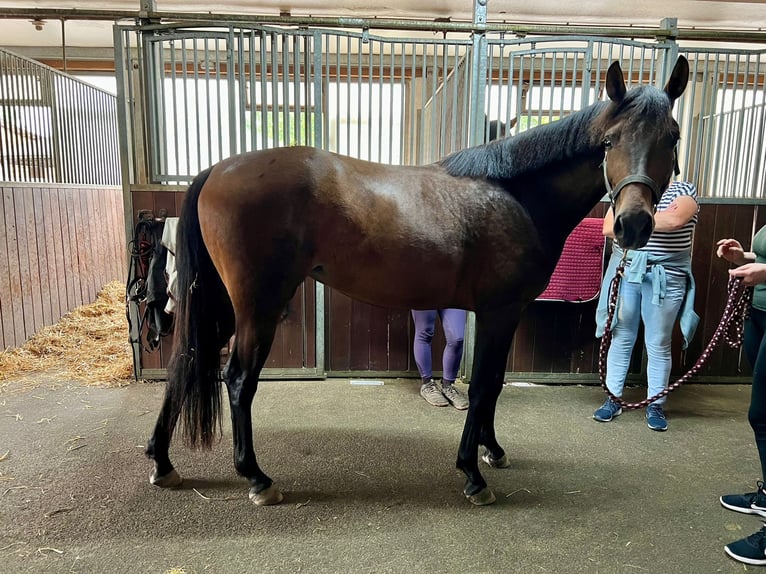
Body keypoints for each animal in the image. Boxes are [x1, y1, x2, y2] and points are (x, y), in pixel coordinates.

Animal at [147, 57, 692, 508]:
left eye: (672, 137)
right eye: (609, 142)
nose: (633, 225)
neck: (515, 194)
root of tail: (217, 169)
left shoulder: (505, 313)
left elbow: (494, 384)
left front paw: (493, 450)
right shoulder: (498, 312)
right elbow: (483, 385)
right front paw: (473, 474)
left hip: (222, 306)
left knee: (186, 363)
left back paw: (162, 463)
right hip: (257, 307)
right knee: (238, 380)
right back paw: (258, 479)